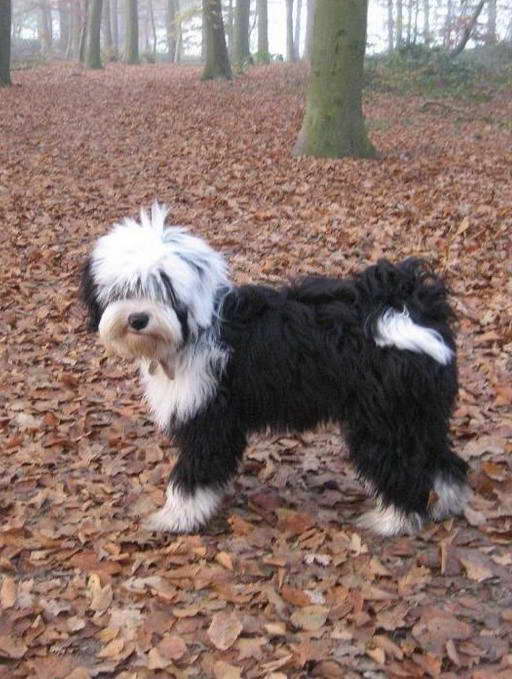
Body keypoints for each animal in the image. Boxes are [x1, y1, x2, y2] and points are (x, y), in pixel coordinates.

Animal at [80, 203, 468, 536]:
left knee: (401, 469)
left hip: (382, 422)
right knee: (445, 461)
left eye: (162, 287)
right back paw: (447, 504)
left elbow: (193, 473)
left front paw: (177, 516)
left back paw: (393, 520)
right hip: (418, 414)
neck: (196, 329)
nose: (137, 319)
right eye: (122, 289)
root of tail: (408, 310)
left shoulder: (210, 419)